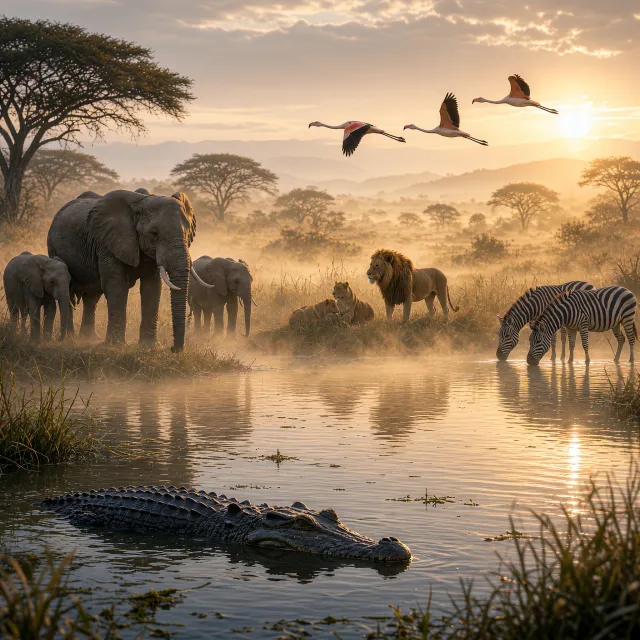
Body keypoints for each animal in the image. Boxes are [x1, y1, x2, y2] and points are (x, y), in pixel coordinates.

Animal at [47, 189, 197, 352]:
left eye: (188, 232)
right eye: (154, 234)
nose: (173, 349)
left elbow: (152, 288)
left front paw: (148, 346)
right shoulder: (107, 243)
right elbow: (116, 285)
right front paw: (116, 345)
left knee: (92, 296)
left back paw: (89, 338)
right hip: (54, 248)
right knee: (70, 292)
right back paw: (70, 339)